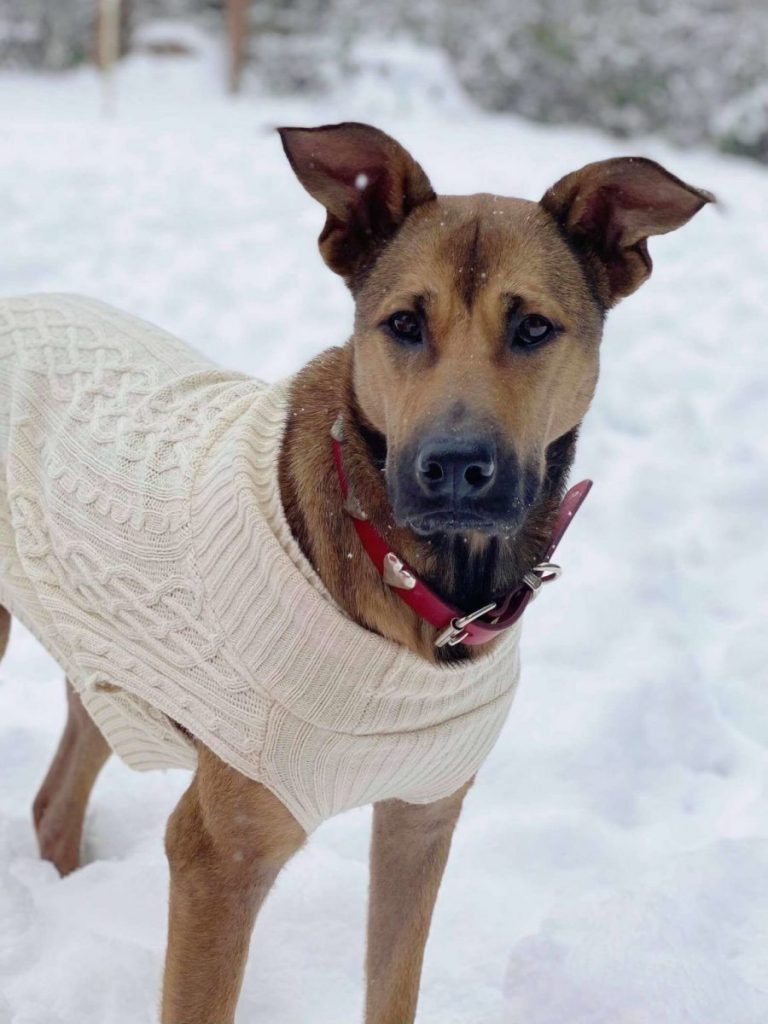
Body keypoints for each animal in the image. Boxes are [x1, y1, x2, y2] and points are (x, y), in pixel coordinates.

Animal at [0, 123, 716, 1019]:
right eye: (404, 323)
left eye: (533, 329)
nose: (455, 467)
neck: (422, 588)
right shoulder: (221, 856)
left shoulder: (423, 816)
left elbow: (393, 986)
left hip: (111, 658)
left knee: (55, 802)